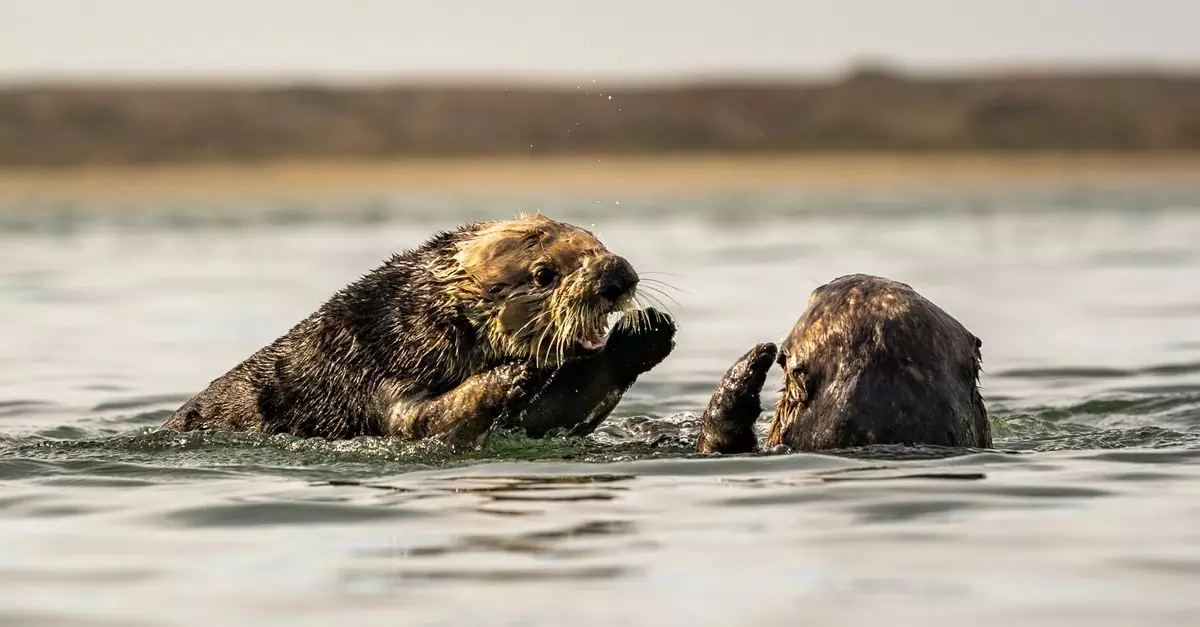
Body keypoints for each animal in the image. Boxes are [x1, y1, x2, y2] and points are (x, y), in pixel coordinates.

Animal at [161, 214, 676, 448]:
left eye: (597, 242)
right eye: (544, 274)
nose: (618, 276)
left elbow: (555, 414)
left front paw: (645, 332)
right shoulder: (378, 373)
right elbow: (423, 422)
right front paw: (512, 375)